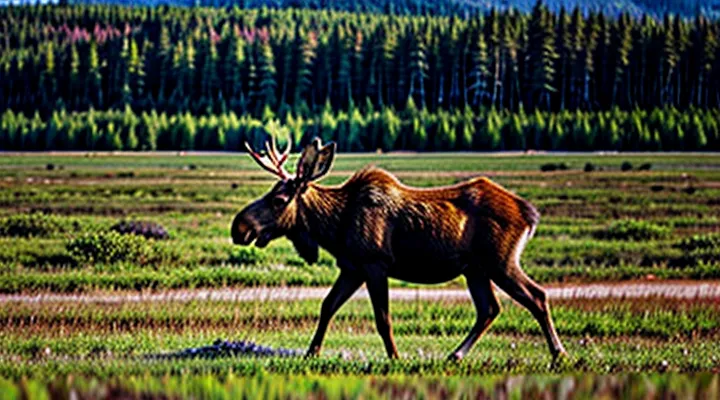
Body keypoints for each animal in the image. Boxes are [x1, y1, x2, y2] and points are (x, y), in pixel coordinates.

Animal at [231, 137, 567, 361]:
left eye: (278, 200)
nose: (239, 228)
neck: (333, 227)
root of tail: (530, 214)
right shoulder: (352, 268)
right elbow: (327, 306)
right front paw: (311, 353)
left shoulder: (375, 263)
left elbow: (383, 318)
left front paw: (395, 357)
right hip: (475, 269)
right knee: (489, 309)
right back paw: (455, 355)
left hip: (501, 261)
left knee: (537, 296)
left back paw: (559, 354)